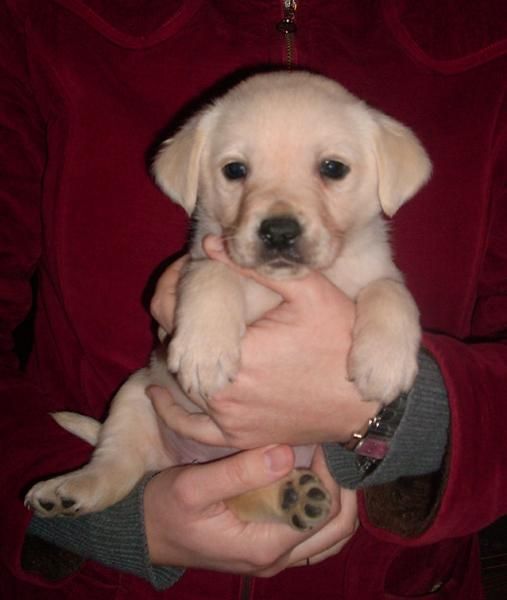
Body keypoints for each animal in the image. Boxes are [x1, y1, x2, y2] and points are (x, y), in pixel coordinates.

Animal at [25, 71, 430, 528]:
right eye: (235, 170)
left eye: (333, 168)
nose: (279, 232)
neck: (276, 286)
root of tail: (179, 459)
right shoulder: (201, 258)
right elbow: (213, 273)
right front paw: (205, 351)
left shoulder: (376, 270)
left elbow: (391, 291)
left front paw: (384, 362)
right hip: (134, 396)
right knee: (116, 465)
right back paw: (67, 489)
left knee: (245, 492)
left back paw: (294, 496)